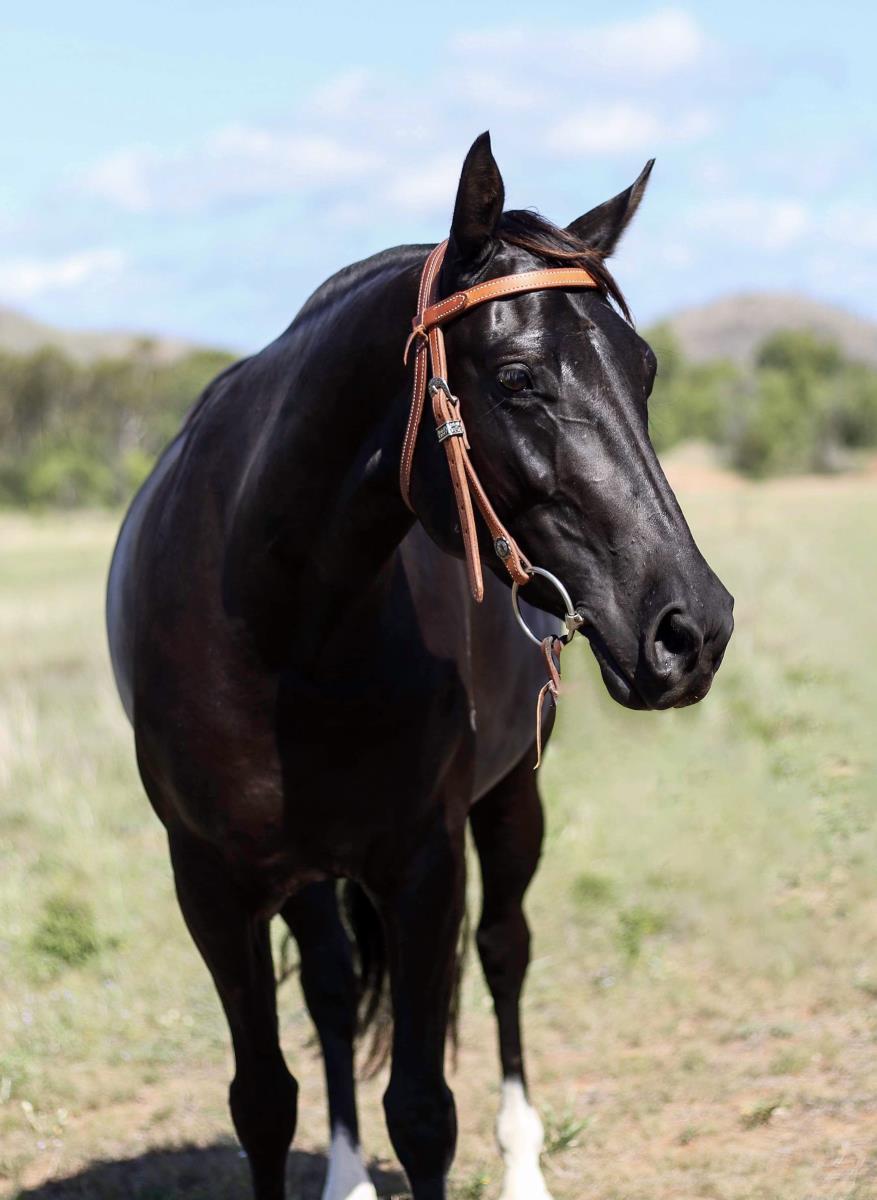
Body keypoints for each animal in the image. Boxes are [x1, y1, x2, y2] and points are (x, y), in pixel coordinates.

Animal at [106, 132, 734, 1200]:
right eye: (518, 378)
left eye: (644, 370)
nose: (693, 629)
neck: (283, 631)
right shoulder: (212, 885)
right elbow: (262, 1101)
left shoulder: (424, 863)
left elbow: (423, 1110)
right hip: (307, 871)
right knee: (332, 988)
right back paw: (346, 1174)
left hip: (511, 798)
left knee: (504, 950)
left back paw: (522, 1166)